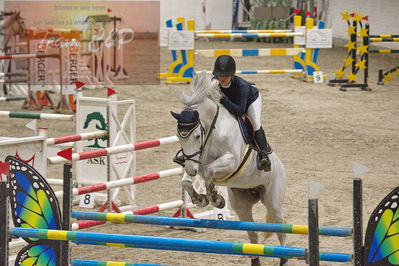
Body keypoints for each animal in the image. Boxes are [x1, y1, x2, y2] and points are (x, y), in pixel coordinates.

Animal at [172, 71, 288, 266]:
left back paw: (284, 257)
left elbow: (209, 171)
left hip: (273, 201)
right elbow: (187, 181)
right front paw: (200, 199)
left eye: (196, 136)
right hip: (242, 204)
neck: (212, 132)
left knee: (280, 227)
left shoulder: (231, 161)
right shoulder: (195, 162)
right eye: (179, 137)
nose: (191, 169)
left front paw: (215, 198)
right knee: (253, 234)